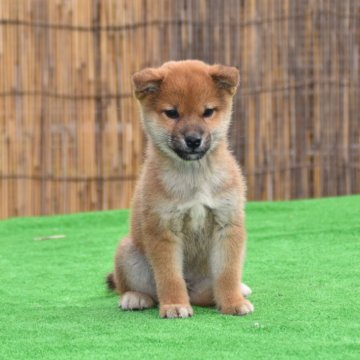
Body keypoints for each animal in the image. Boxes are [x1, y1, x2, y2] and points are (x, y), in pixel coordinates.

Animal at [107, 59, 253, 318]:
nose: (193, 140)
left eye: (207, 112)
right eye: (172, 113)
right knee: (133, 287)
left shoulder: (227, 224)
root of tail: (193, 290)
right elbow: (170, 277)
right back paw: (135, 297)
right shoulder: (163, 229)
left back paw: (238, 290)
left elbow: (227, 274)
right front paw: (174, 305)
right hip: (128, 253)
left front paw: (233, 302)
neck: (194, 178)